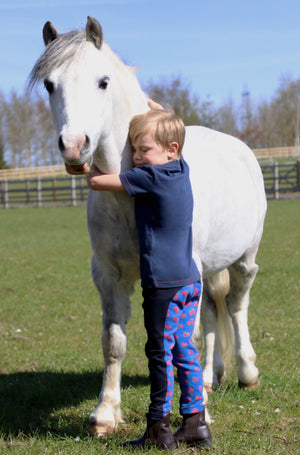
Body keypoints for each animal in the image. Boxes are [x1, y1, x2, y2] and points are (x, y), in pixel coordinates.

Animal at [29, 16, 266, 438]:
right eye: (50, 84)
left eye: (102, 82)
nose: (74, 146)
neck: (131, 191)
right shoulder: (109, 275)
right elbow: (114, 341)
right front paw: (105, 414)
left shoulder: (184, 274)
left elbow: (183, 340)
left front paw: (199, 416)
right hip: (211, 270)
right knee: (212, 312)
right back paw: (210, 377)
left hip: (244, 261)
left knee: (237, 307)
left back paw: (246, 373)